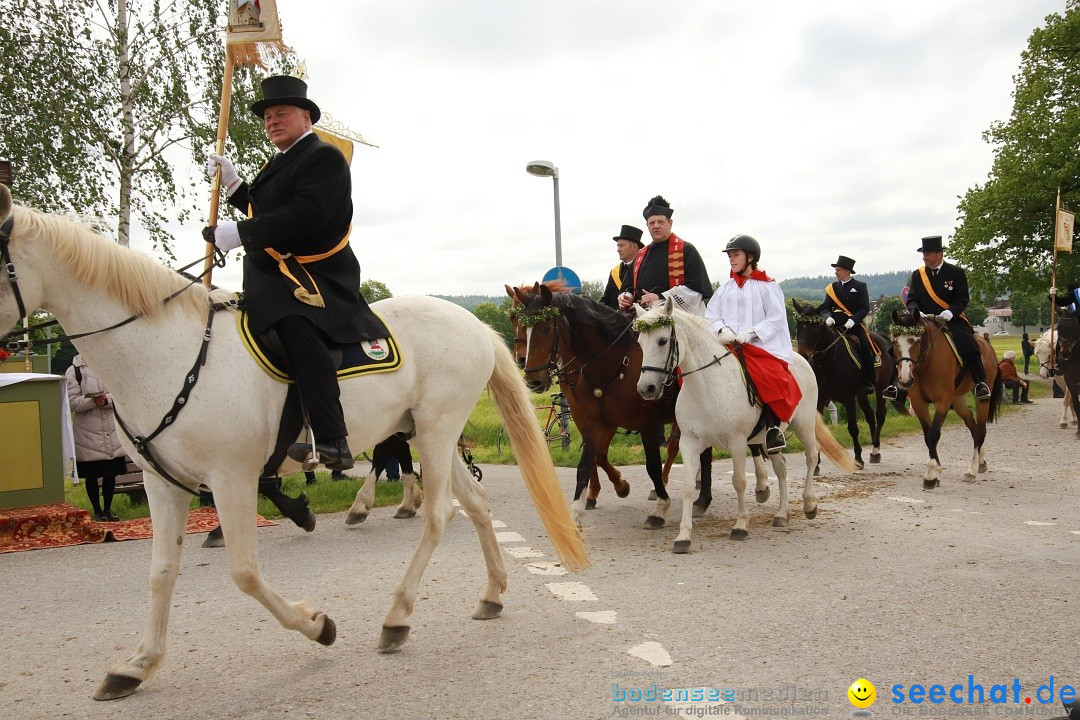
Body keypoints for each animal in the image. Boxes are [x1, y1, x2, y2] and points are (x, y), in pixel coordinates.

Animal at [0, 185, 587, 699]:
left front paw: (317, 624)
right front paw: (137, 665)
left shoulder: (231, 477)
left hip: (437, 430)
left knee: (441, 513)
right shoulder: (162, 483)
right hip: (425, 434)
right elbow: (161, 573)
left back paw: (396, 617)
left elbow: (244, 572)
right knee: (477, 503)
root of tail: (473, 323)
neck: (167, 350)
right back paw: (491, 594)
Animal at [511, 282, 712, 528]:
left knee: (696, 450)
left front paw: (660, 508)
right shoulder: (593, 420)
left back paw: (701, 498)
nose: (533, 380)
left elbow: (652, 465)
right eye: (519, 323)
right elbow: (588, 462)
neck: (614, 364)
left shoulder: (647, 424)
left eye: (547, 328)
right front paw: (579, 511)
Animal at [630, 295, 851, 557]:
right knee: (782, 468)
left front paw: (740, 526)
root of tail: (799, 358)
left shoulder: (736, 442)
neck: (706, 386)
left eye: (663, 341)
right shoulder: (690, 443)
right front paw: (683, 537)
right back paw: (782, 514)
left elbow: (739, 481)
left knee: (811, 456)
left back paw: (809, 503)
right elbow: (687, 487)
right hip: (769, 437)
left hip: (804, 424)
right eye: (640, 343)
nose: (647, 389)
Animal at [790, 297, 898, 470]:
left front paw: (858, 458)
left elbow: (853, 428)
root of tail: (882, 337)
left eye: (815, 327)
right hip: (862, 394)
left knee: (880, 415)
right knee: (870, 416)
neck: (828, 361)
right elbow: (818, 431)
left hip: (880, 388)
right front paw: (817, 464)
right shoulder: (820, 400)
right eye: (799, 325)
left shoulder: (849, 399)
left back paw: (875, 449)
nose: (803, 355)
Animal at [885, 310, 1002, 490]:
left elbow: (933, 433)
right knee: (973, 427)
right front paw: (935, 471)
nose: (904, 380)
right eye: (894, 341)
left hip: (982, 398)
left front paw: (931, 474)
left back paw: (972, 470)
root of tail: (987, 345)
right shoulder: (918, 403)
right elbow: (927, 436)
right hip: (958, 400)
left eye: (917, 341)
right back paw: (981, 461)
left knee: (981, 430)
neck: (926, 363)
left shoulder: (943, 400)